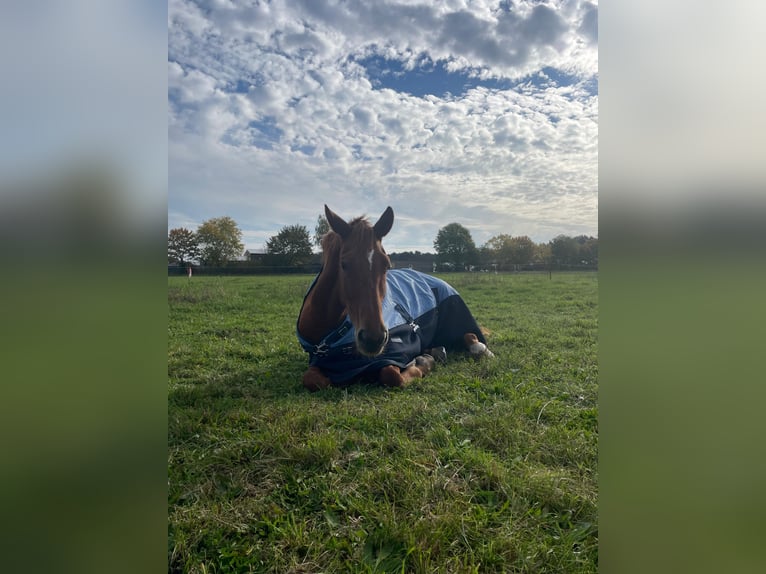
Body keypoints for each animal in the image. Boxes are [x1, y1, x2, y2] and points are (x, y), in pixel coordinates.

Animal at [296, 205, 496, 394]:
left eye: (386, 264)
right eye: (343, 264)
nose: (373, 338)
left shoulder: (395, 353)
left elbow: (391, 375)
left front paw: (424, 361)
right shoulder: (321, 363)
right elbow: (312, 379)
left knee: (470, 336)